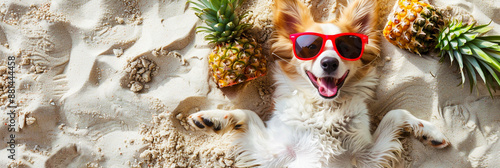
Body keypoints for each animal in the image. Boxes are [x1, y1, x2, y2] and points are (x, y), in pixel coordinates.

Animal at [187, 0, 450, 166]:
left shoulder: (365, 156)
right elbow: (247, 114)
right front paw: (213, 117)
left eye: (347, 47)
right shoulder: (273, 155)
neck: (325, 109)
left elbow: (396, 113)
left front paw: (429, 131)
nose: (329, 63)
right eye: (310, 46)